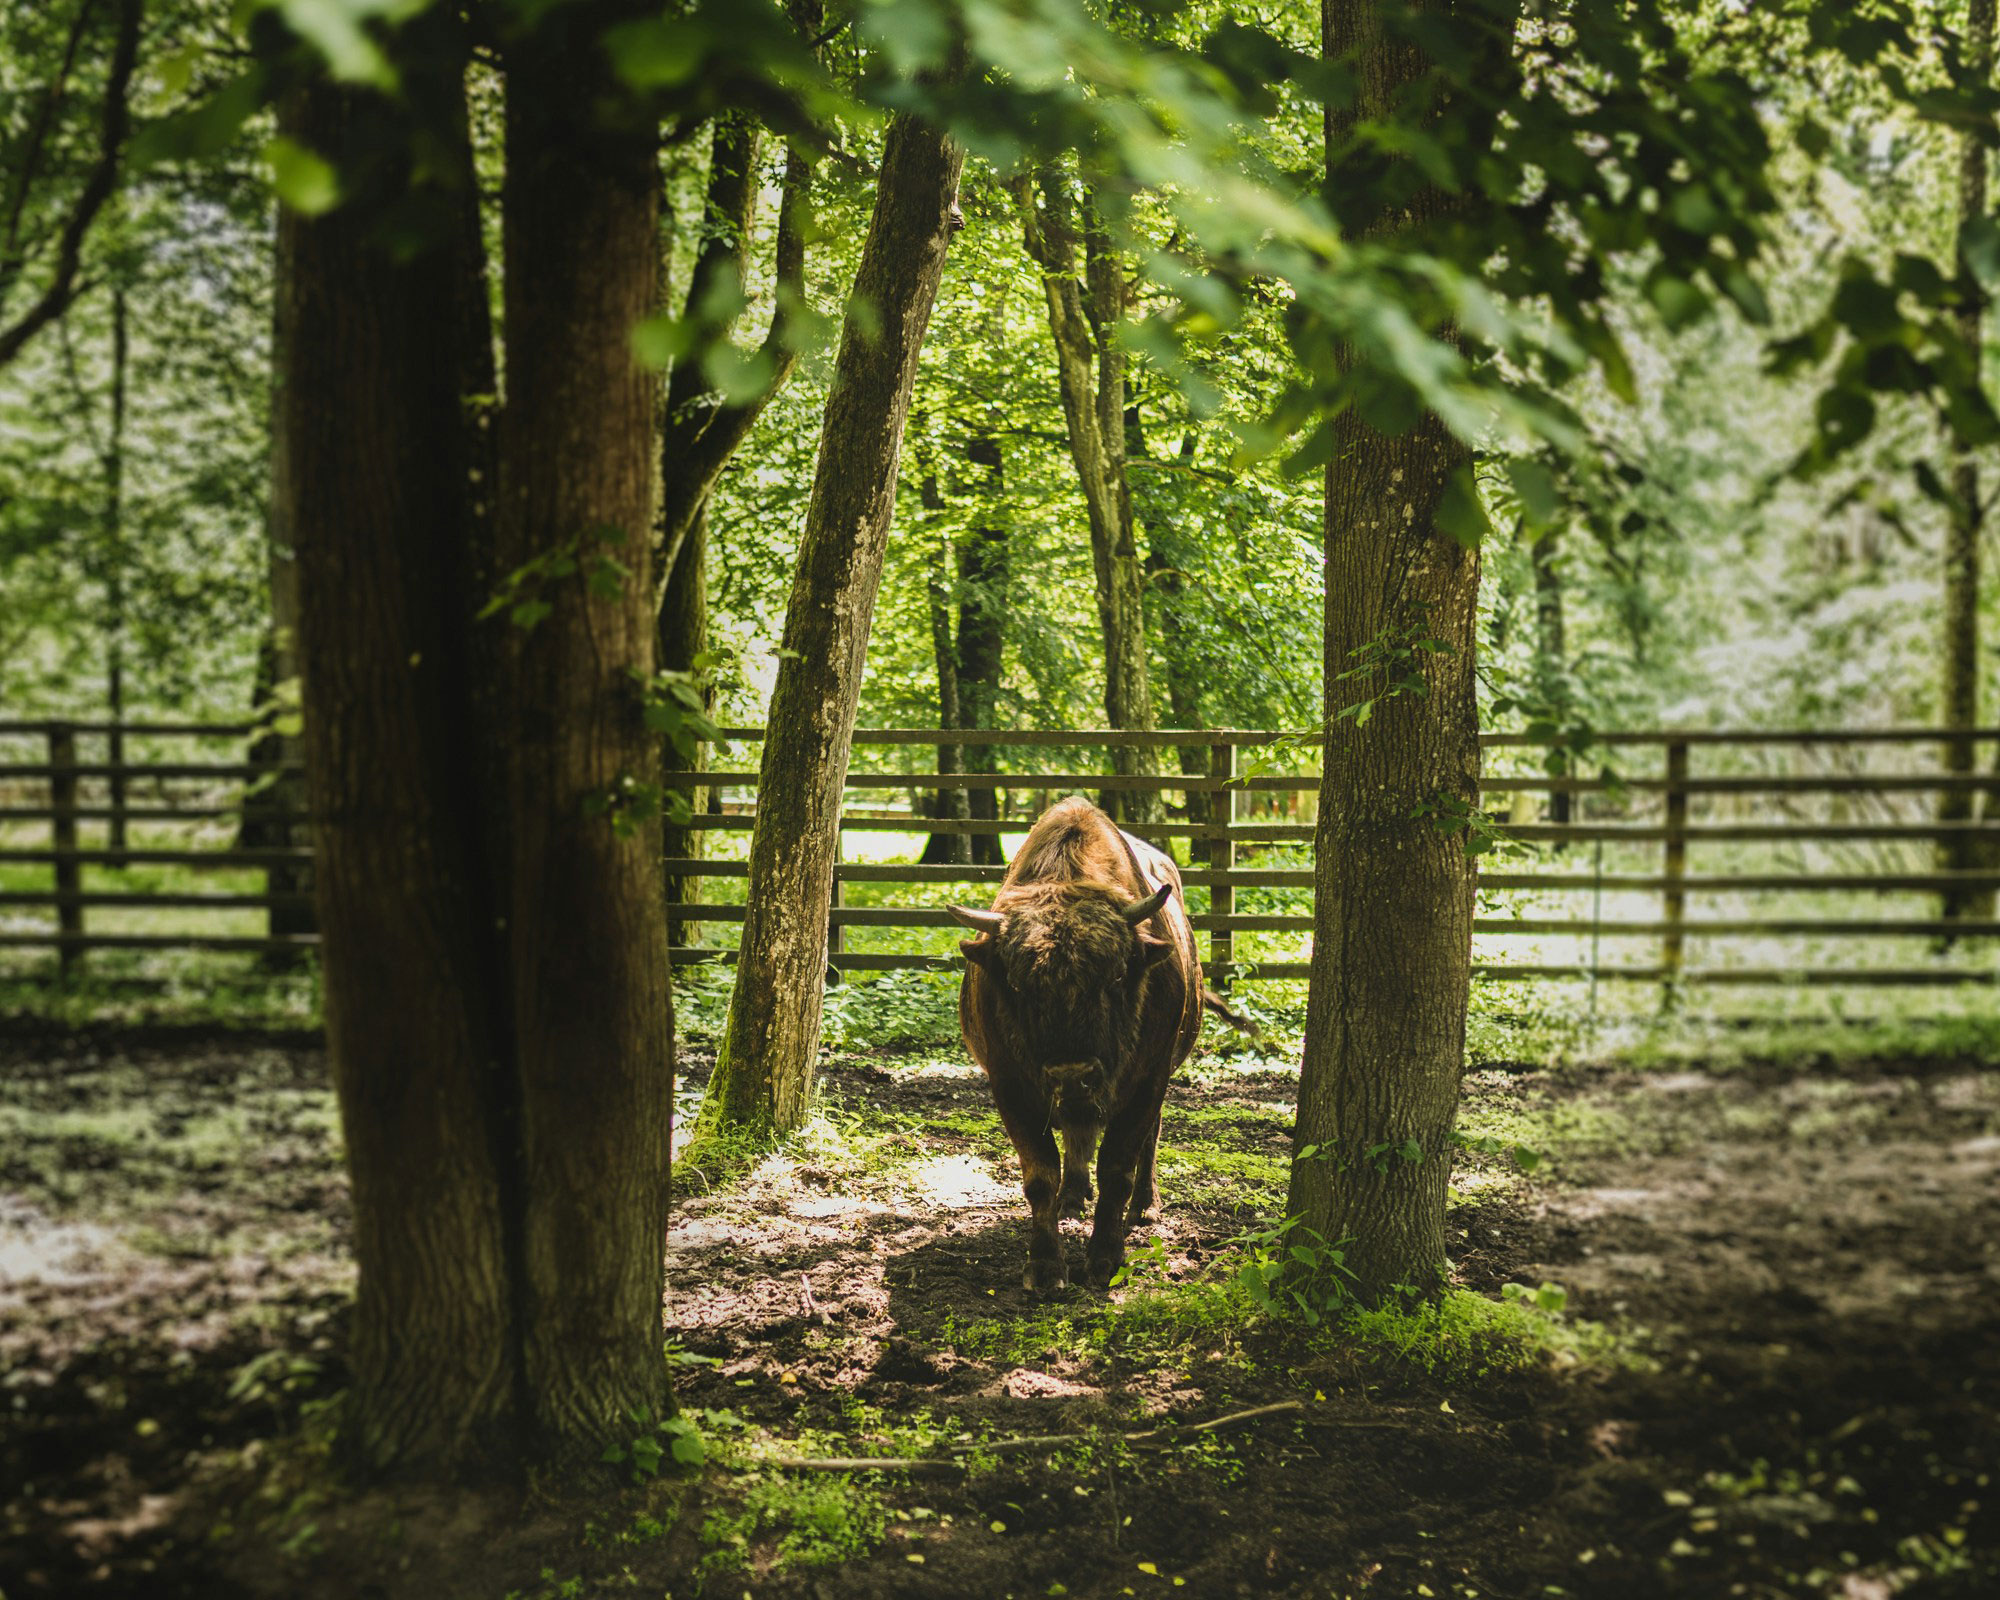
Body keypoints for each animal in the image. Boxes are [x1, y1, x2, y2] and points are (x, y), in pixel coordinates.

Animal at [949, 796, 1206, 1291]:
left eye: (1117, 976)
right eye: (1017, 983)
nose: (1073, 1074)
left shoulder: (1146, 1083)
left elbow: (1118, 1167)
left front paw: (1106, 1260)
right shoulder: (1011, 1088)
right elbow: (1040, 1173)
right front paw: (1046, 1268)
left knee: (1147, 1140)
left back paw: (1145, 1207)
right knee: (1075, 1135)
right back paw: (1072, 1198)